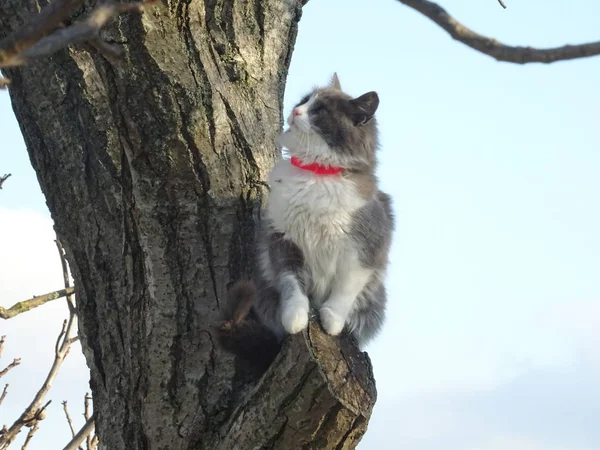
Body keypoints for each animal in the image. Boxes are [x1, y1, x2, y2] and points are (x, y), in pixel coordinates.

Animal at [220, 72, 394, 350]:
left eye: (319, 110)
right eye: (304, 101)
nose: (295, 111)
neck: (316, 174)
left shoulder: (365, 249)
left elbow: (344, 290)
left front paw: (332, 321)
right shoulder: (284, 242)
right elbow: (292, 287)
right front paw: (295, 319)